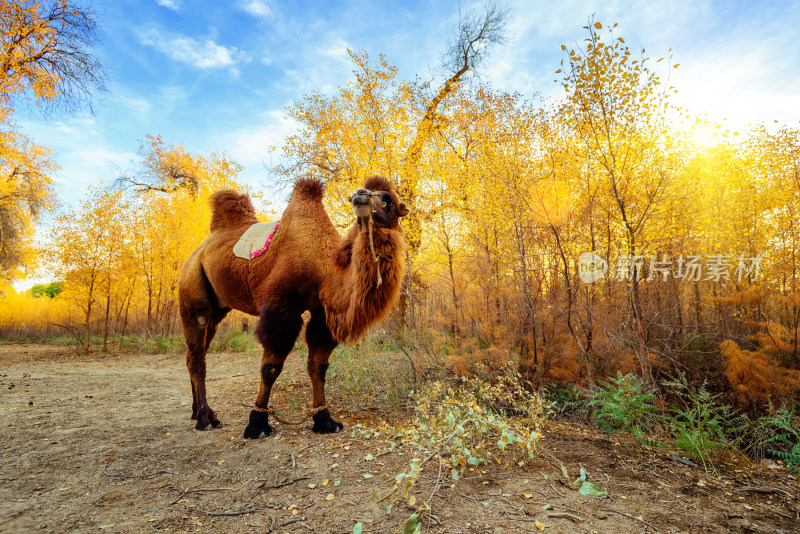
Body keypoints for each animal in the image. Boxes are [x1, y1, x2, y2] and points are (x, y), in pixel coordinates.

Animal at [179, 178, 410, 438]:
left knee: (195, 353)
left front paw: (325, 420)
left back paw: (198, 411)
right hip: (192, 291)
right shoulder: (281, 305)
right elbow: (270, 368)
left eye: (388, 200)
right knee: (197, 354)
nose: (359, 195)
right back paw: (205, 418)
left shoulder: (321, 313)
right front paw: (257, 423)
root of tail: (198, 251)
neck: (324, 268)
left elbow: (318, 366)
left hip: (217, 309)